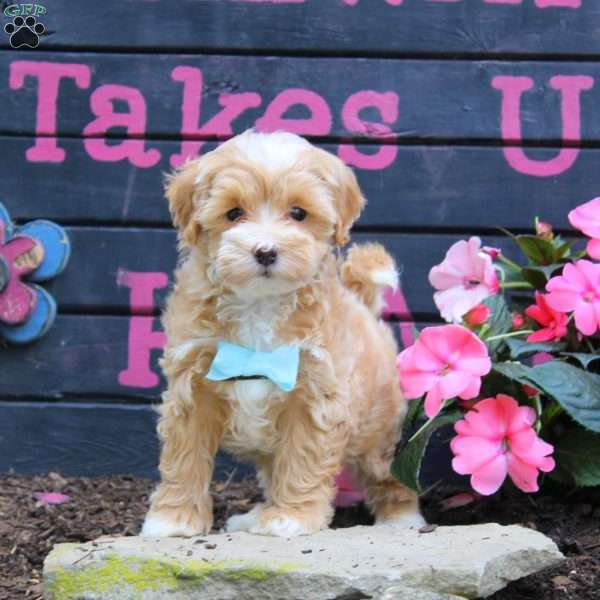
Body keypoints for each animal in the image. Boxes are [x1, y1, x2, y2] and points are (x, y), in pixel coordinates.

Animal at [141, 129, 424, 536]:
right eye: (233, 213)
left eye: (298, 213)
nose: (265, 251)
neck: (261, 304)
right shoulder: (191, 385)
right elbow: (185, 456)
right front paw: (173, 520)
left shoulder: (315, 394)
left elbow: (303, 457)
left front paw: (291, 518)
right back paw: (255, 515)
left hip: (378, 428)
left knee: (387, 471)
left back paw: (401, 518)